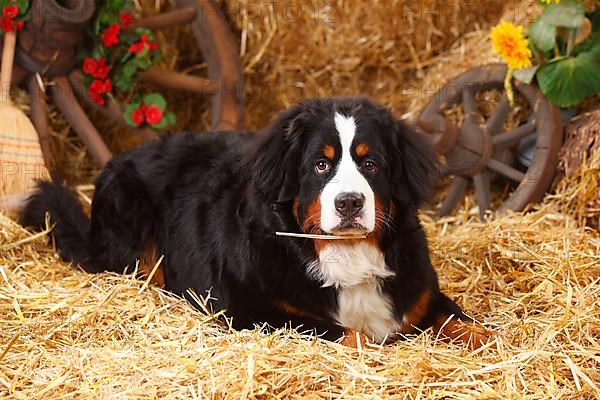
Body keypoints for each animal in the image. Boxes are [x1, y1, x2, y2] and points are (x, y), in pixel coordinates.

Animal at [22, 95, 492, 348]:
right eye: (321, 165)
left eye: (371, 163)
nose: (349, 202)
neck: (344, 255)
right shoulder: (253, 309)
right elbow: (349, 333)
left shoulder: (420, 292)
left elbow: (464, 322)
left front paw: (490, 339)